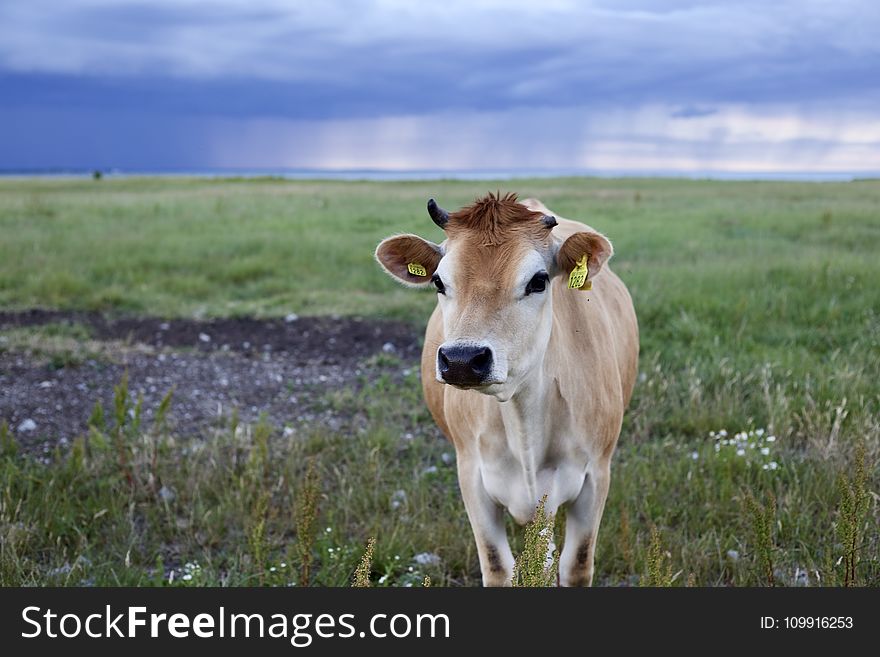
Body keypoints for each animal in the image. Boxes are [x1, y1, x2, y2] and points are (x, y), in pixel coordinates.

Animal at [374, 191, 636, 584]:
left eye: (538, 281)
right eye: (438, 282)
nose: (462, 359)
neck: (522, 416)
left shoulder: (595, 476)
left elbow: (575, 564)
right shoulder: (471, 475)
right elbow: (498, 565)